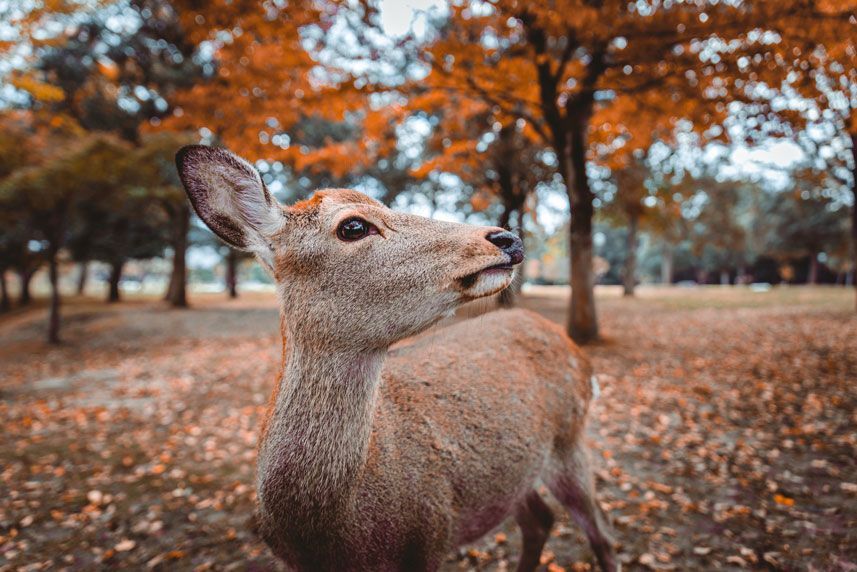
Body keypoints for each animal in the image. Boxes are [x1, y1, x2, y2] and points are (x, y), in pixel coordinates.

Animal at [175, 145, 618, 572]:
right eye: (353, 226)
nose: (507, 238)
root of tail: (576, 352)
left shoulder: (431, 537)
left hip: (571, 441)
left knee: (600, 534)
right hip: (516, 476)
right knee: (540, 519)